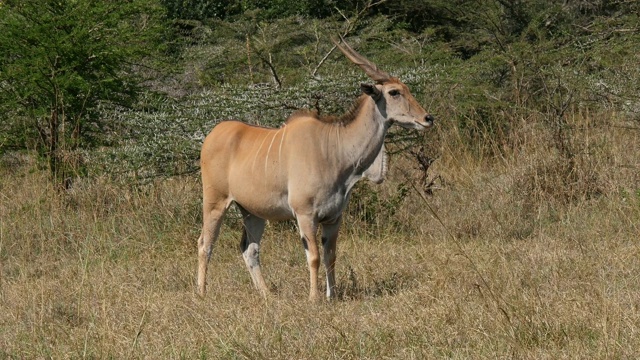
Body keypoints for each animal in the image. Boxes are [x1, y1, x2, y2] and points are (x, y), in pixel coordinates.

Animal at [196, 37, 436, 300]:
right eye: (394, 92)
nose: (428, 118)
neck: (334, 149)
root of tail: (212, 135)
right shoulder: (305, 214)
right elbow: (314, 257)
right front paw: (314, 298)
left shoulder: (333, 218)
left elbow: (331, 256)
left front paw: (333, 295)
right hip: (215, 202)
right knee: (205, 244)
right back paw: (202, 293)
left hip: (252, 211)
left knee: (249, 249)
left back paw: (268, 295)